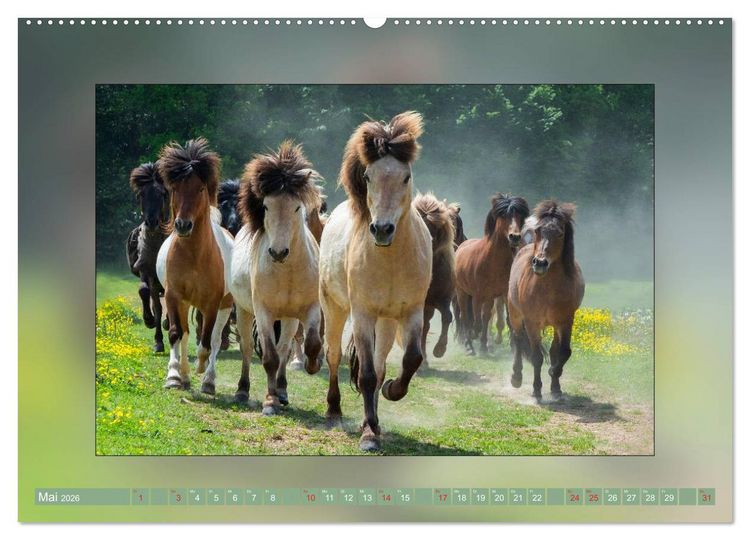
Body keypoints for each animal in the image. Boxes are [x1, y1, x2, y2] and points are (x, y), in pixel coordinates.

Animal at [155, 137, 234, 394]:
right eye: (175, 189)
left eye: (200, 189)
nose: (182, 225)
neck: (194, 256)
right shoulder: (173, 296)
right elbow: (175, 334)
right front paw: (173, 376)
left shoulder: (212, 304)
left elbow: (207, 343)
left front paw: (201, 370)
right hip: (184, 302)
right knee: (186, 334)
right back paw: (185, 376)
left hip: (225, 306)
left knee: (216, 339)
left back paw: (208, 380)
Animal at [230, 141, 323, 414]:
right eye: (266, 206)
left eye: (297, 207)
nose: (279, 252)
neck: (287, 272)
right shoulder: (263, 313)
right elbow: (269, 358)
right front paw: (269, 401)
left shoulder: (310, 308)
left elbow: (310, 343)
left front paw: (313, 365)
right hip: (244, 310)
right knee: (247, 348)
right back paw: (243, 390)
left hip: (289, 318)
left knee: (284, 349)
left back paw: (282, 390)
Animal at [319, 111, 432, 452]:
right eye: (368, 177)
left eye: (406, 177)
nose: (382, 230)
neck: (391, 261)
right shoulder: (363, 314)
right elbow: (367, 375)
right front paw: (368, 435)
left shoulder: (412, 312)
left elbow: (411, 359)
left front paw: (393, 391)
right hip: (335, 309)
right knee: (333, 356)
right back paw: (334, 411)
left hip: (387, 322)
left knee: (382, 365)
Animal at [454, 193, 529, 356]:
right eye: (504, 215)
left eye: (520, 216)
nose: (515, 237)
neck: (492, 260)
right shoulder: (477, 296)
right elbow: (476, 322)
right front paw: (474, 336)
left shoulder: (504, 295)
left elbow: (501, 320)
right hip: (462, 292)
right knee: (465, 316)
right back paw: (469, 345)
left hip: (488, 297)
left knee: (485, 317)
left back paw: (482, 345)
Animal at [507, 200, 585, 400]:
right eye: (538, 231)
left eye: (560, 233)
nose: (540, 263)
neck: (548, 288)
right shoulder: (532, 323)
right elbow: (537, 357)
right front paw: (536, 390)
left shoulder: (565, 321)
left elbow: (563, 352)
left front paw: (554, 379)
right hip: (515, 314)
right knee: (518, 340)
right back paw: (516, 377)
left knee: (553, 349)